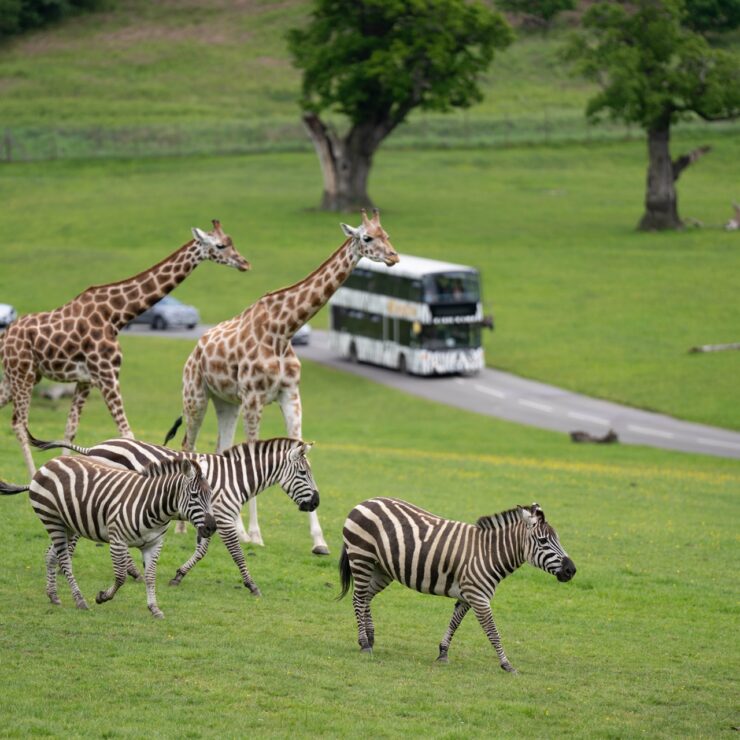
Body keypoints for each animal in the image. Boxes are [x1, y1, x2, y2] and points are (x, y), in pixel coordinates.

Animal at [0, 221, 249, 477]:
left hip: (18, 376)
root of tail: (5, 335)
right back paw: (31, 474)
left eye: (231, 241)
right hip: (23, 373)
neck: (116, 314)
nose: (244, 263)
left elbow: (70, 429)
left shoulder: (86, 379)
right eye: (220, 246)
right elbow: (127, 432)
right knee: (19, 423)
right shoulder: (107, 373)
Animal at [0, 455, 216, 618]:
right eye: (194, 495)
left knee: (50, 556)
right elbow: (121, 577)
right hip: (51, 519)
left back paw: (53, 595)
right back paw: (80, 600)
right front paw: (102, 597)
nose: (212, 527)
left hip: (67, 525)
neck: (154, 507)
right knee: (65, 560)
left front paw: (154, 608)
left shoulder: (154, 544)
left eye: (211, 495)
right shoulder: (117, 541)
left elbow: (150, 577)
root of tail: (50, 462)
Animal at [27, 431, 320, 596]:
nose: (316, 502)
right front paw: (251, 585)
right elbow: (237, 554)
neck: (235, 478)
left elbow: (201, 550)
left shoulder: (208, 518)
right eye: (303, 473)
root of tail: (94, 448)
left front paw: (179, 575)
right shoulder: (225, 518)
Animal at [169, 209, 399, 554]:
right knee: (188, 444)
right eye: (367, 237)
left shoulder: (290, 394)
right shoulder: (254, 396)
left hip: (227, 402)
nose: (394, 256)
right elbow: (252, 453)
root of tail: (196, 347)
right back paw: (185, 528)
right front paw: (254, 534)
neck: (283, 330)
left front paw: (319, 541)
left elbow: (298, 447)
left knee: (221, 446)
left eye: (387, 234)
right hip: (196, 395)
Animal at [339, 497, 576, 672]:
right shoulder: (479, 597)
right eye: (543, 541)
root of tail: (365, 502)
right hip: (361, 557)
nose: (571, 570)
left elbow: (455, 623)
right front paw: (507, 664)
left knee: (366, 597)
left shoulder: (467, 596)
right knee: (358, 598)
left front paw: (443, 653)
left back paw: (370, 637)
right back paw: (364, 643)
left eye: (557, 539)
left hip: (382, 568)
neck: (489, 553)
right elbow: (493, 631)